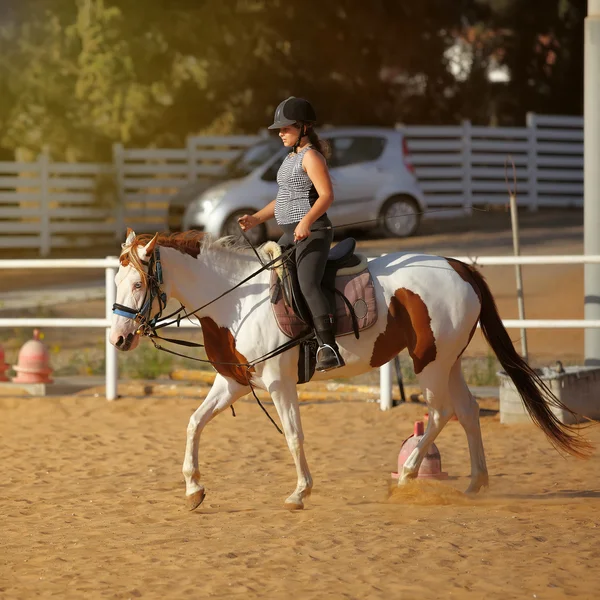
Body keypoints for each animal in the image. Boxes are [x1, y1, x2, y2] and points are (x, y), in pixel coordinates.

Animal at [109, 230, 592, 510]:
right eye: (115, 283)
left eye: (136, 283)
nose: (118, 339)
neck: (238, 299)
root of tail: (458, 267)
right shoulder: (234, 381)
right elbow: (194, 423)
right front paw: (193, 489)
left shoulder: (278, 383)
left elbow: (293, 434)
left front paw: (300, 491)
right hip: (448, 360)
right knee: (468, 411)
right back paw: (475, 483)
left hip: (430, 363)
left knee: (440, 413)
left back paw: (409, 476)